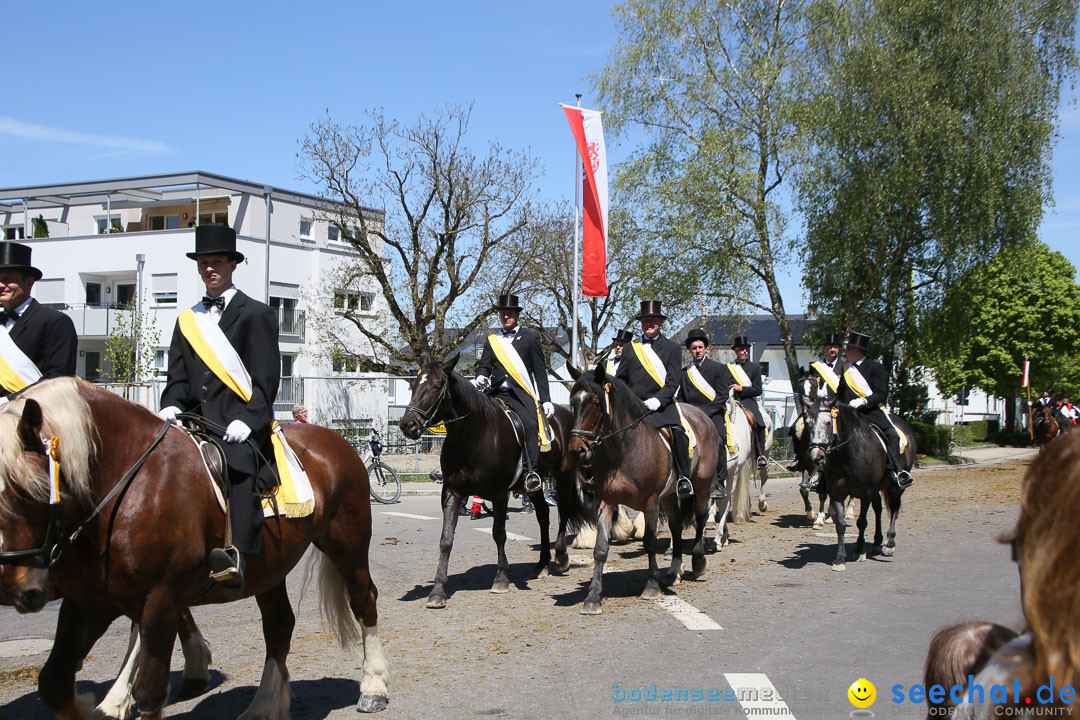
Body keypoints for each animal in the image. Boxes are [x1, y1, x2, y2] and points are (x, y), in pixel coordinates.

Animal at [0, 379, 393, 716]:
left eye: (33, 488)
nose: (18, 587)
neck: (127, 483)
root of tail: (335, 440)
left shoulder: (159, 598)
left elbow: (150, 688)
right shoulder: (89, 600)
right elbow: (54, 682)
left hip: (347, 543)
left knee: (364, 601)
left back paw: (373, 686)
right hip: (269, 568)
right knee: (280, 624)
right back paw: (264, 705)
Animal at [397, 351, 587, 613]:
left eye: (436, 386)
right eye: (414, 384)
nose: (408, 425)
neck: (473, 436)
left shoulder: (499, 493)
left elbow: (499, 534)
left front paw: (501, 579)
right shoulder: (452, 492)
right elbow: (446, 540)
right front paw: (437, 591)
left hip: (564, 475)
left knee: (564, 511)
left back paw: (560, 558)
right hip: (535, 484)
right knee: (542, 516)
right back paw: (542, 564)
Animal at [565, 362, 717, 617]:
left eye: (595, 403)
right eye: (572, 402)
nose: (578, 451)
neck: (621, 451)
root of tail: (701, 415)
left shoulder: (650, 502)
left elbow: (650, 542)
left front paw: (651, 587)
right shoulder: (605, 502)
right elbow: (600, 549)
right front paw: (593, 598)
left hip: (702, 483)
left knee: (701, 516)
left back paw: (698, 562)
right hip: (670, 496)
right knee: (676, 526)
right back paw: (673, 571)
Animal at [807, 386, 915, 569]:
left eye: (828, 423)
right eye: (808, 424)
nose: (816, 457)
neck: (847, 455)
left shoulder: (866, 492)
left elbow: (862, 522)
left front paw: (859, 550)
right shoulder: (837, 492)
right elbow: (840, 524)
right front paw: (839, 558)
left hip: (894, 486)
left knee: (894, 508)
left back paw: (889, 543)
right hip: (878, 488)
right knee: (878, 509)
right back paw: (877, 542)